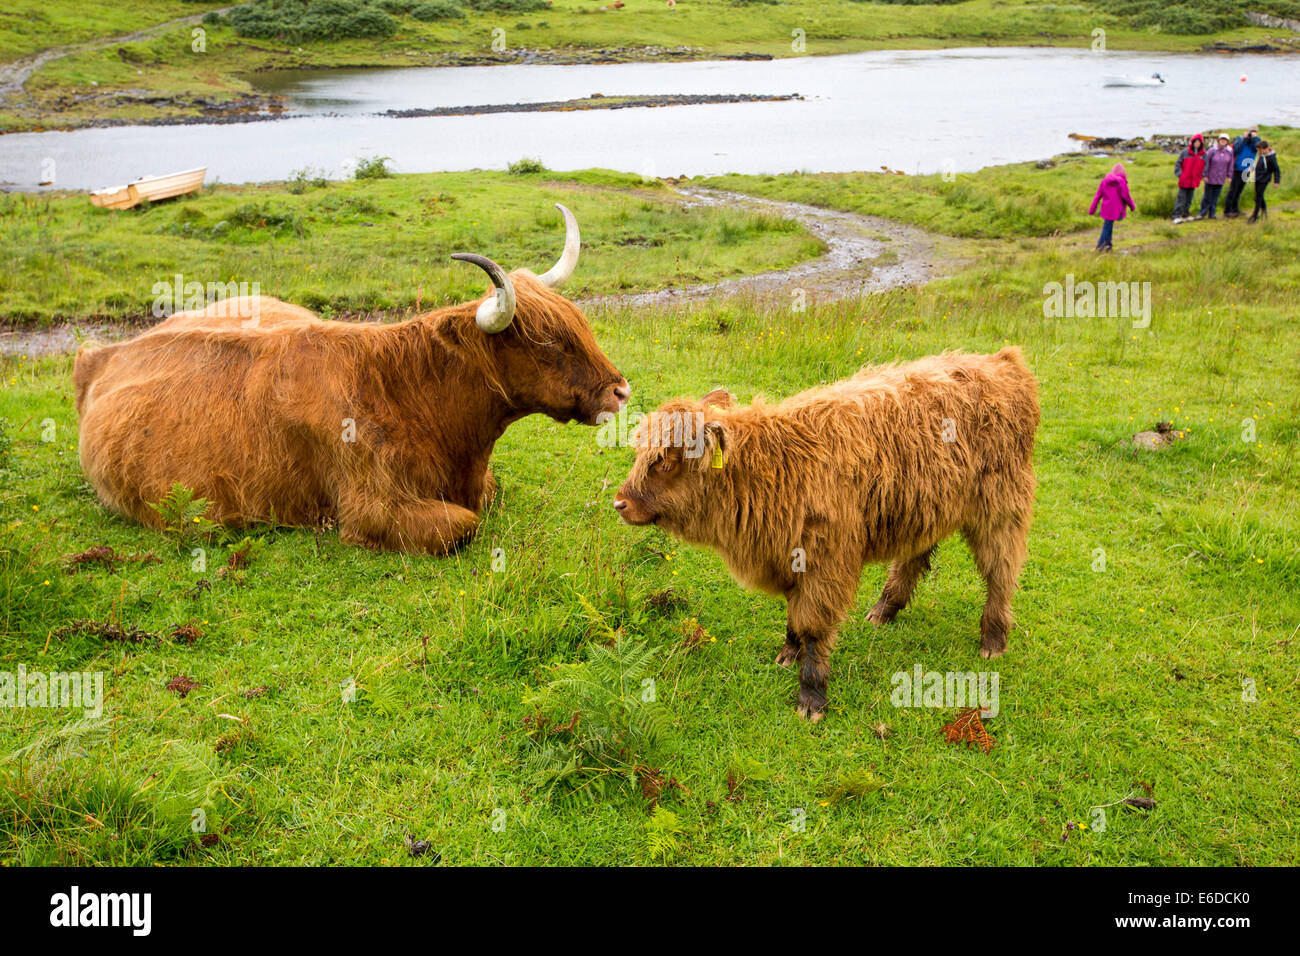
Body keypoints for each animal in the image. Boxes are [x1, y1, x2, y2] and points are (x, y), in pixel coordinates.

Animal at [613, 348, 1040, 723]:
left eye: (664, 462)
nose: (620, 503)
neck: (773, 471)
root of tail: (1002, 362)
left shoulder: (826, 563)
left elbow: (814, 628)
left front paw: (811, 696)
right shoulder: (789, 556)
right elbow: (793, 617)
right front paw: (788, 653)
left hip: (1001, 505)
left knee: (1001, 570)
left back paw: (993, 639)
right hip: (926, 506)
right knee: (915, 557)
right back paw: (884, 609)